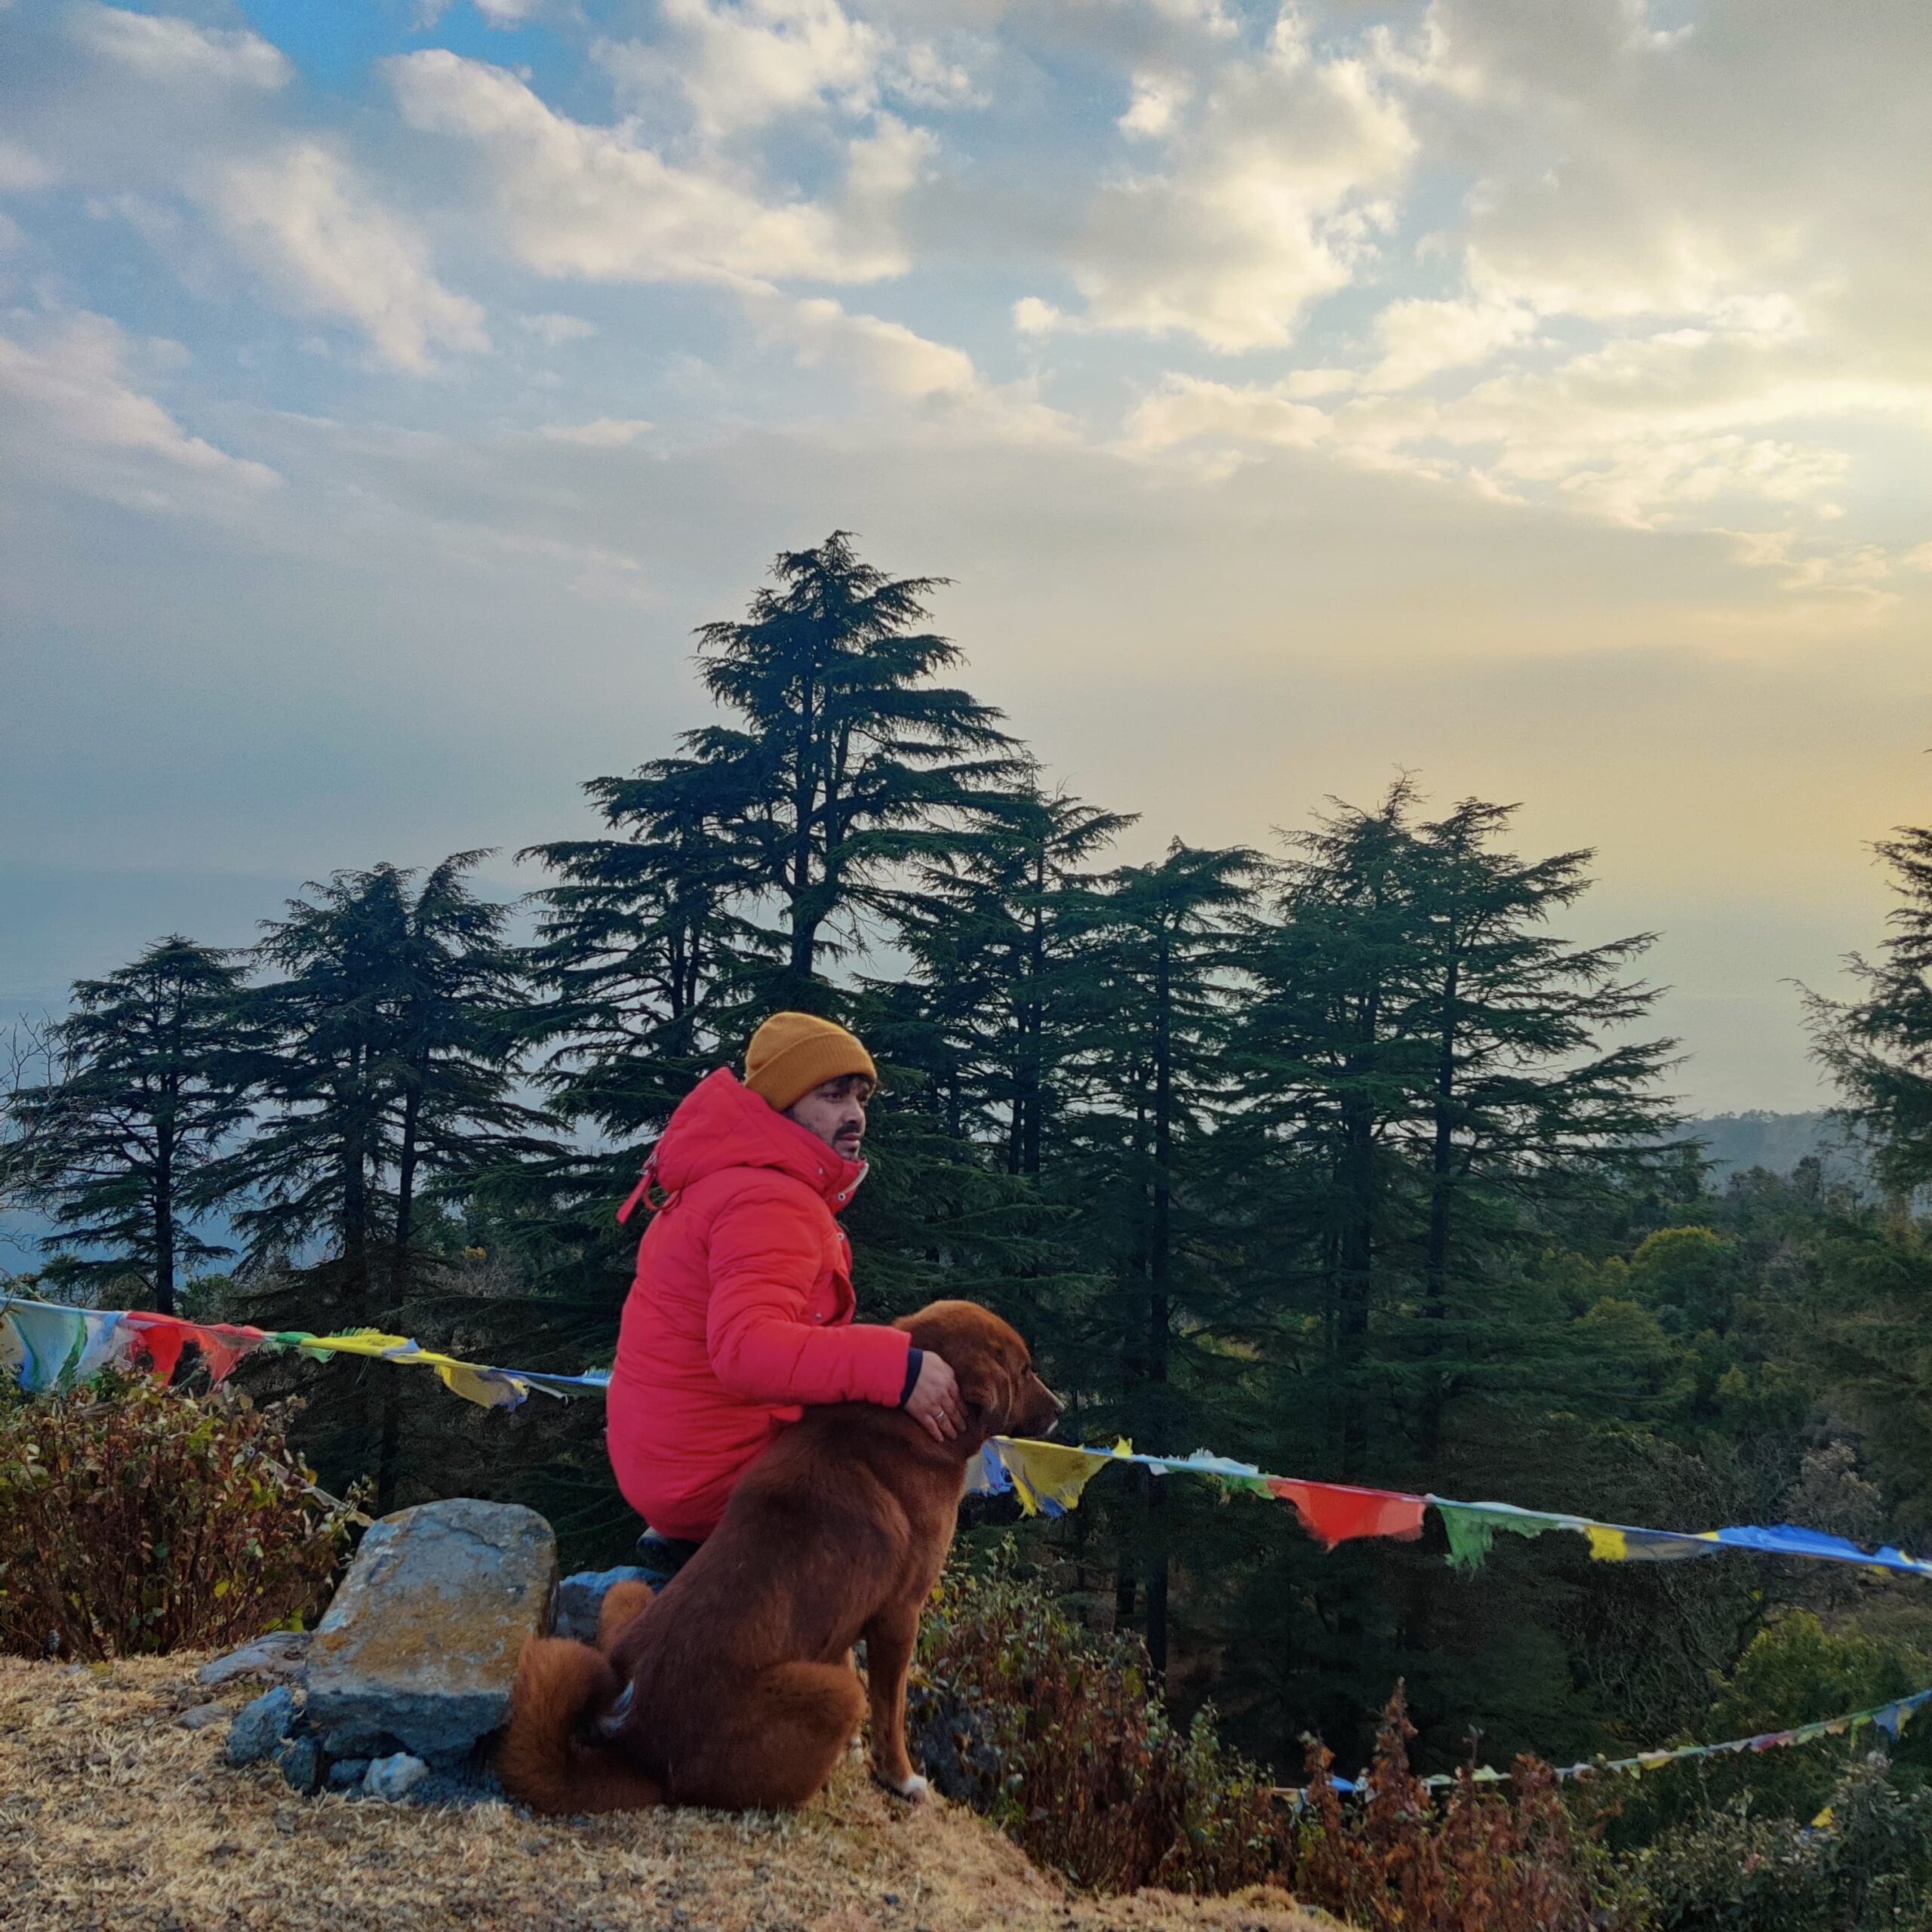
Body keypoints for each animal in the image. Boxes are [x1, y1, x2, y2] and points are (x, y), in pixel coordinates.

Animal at [498, 1298, 1066, 1808]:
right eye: (1025, 1369)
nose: (1062, 1411)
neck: (901, 1425)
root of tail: (634, 1750)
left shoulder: (846, 1609)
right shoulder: (900, 1615)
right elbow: (892, 1712)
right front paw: (901, 1778)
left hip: (629, 1596)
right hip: (836, 1695)